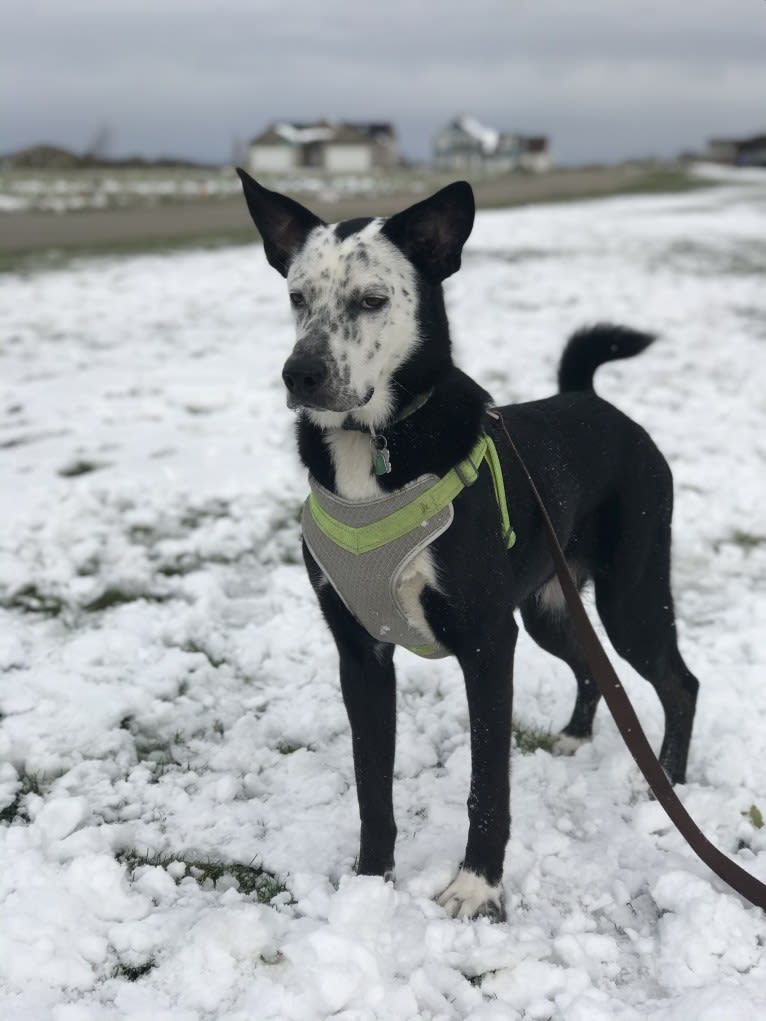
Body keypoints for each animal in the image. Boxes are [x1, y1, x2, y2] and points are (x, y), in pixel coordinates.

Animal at [236, 171, 698, 922]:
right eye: (297, 297)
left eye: (372, 299)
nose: (299, 374)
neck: (378, 445)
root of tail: (595, 402)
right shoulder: (360, 653)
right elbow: (372, 783)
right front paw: (371, 883)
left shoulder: (486, 641)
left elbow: (488, 785)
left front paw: (477, 884)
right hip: (546, 606)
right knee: (589, 667)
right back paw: (575, 736)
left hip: (631, 593)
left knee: (679, 681)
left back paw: (671, 786)